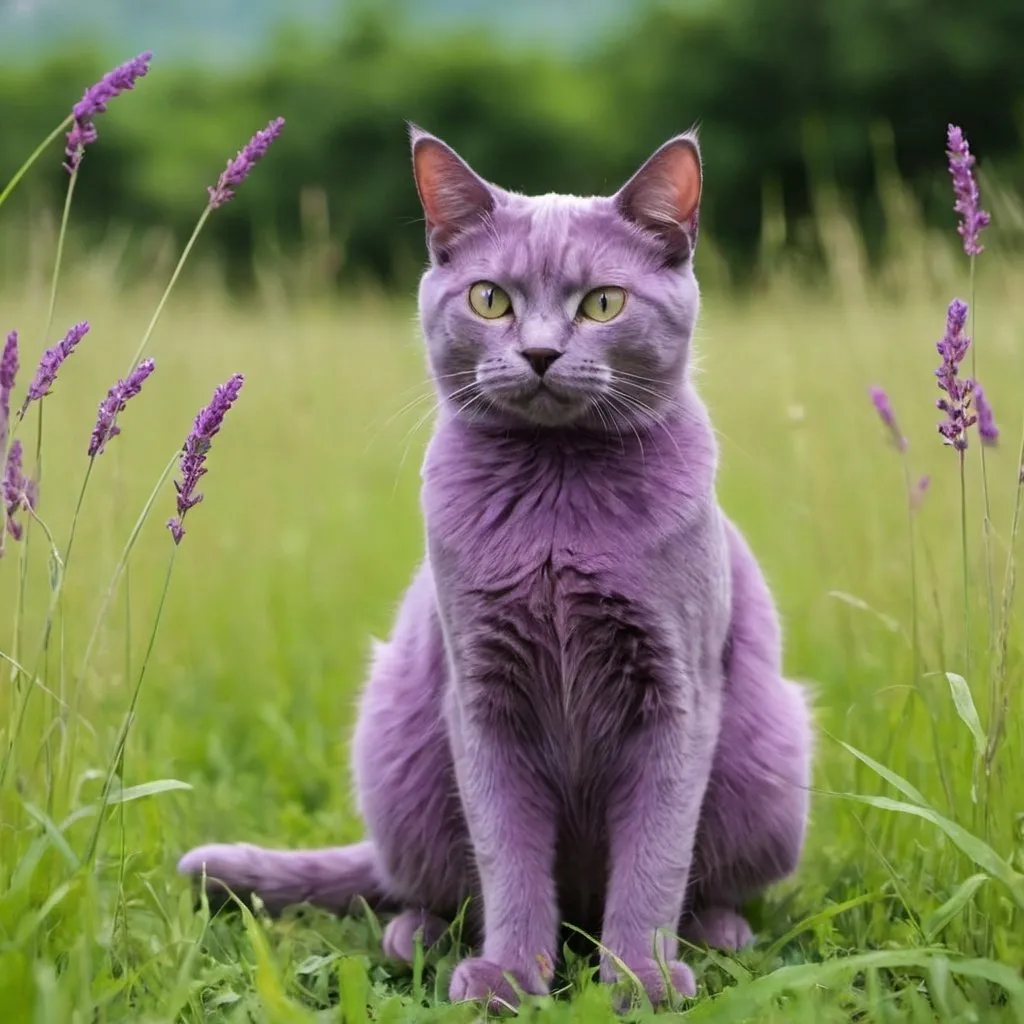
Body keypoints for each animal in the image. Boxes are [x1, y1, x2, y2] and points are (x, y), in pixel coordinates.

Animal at [180, 125, 811, 1007]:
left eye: (602, 303)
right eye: (490, 300)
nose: (540, 352)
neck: (555, 497)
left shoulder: (678, 692)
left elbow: (655, 858)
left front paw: (639, 979)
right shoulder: (481, 695)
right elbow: (507, 855)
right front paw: (510, 977)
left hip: (771, 751)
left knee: (710, 882)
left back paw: (718, 934)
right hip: (396, 743)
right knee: (425, 885)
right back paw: (418, 938)